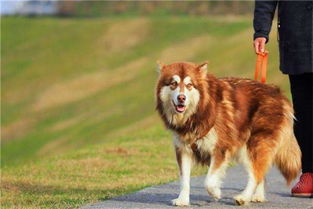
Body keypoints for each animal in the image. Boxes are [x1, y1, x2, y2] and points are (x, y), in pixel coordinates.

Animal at [155, 60, 302, 206]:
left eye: (189, 85)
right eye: (173, 84)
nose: (181, 98)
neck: (198, 112)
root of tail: (278, 92)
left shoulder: (220, 148)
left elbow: (209, 180)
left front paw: (215, 192)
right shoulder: (184, 149)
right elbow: (184, 179)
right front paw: (183, 200)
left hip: (255, 144)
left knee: (255, 174)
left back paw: (244, 197)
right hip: (244, 148)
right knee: (260, 172)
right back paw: (257, 196)